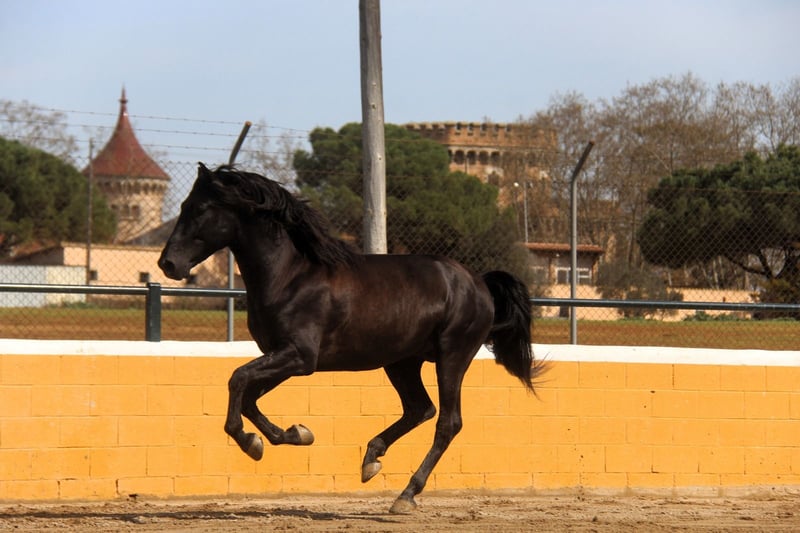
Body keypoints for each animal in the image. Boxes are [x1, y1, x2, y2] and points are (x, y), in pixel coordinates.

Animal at [158, 163, 546, 514]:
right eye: (183, 205)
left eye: (200, 209)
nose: (168, 264)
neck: (289, 276)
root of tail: (479, 283)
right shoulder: (281, 357)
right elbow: (249, 395)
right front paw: (294, 434)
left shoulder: (299, 356)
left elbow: (237, 380)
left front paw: (252, 442)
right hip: (402, 362)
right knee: (420, 408)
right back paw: (371, 459)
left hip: (452, 356)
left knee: (447, 422)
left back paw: (406, 496)